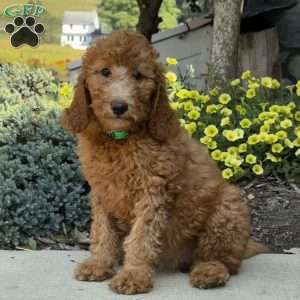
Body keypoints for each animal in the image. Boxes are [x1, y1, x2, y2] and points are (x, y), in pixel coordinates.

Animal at [62, 31, 264, 296]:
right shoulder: (102, 193)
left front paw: (133, 275)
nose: (119, 106)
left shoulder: (152, 192)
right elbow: (102, 231)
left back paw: (209, 272)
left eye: (138, 75)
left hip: (227, 208)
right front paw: (98, 264)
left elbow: (141, 238)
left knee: (221, 260)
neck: (121, 139)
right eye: (104, 72)